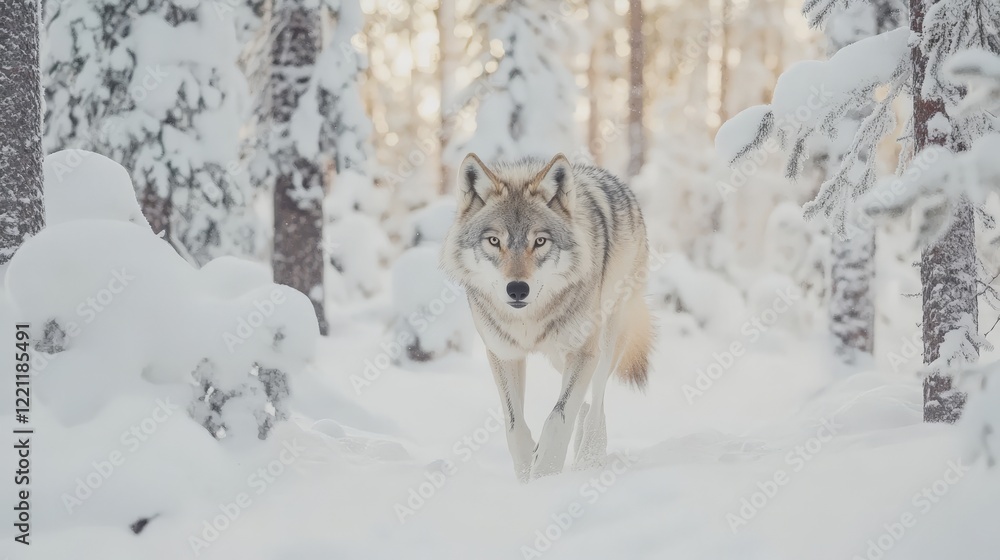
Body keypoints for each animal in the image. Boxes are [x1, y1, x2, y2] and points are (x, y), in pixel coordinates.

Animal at [441, 152, 654, 482]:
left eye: (539, 241)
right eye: (494, 241)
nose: (517, 289)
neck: (529, 320)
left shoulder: (583, 352)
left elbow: (558, 418)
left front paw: (545, 475)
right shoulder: (504, 354)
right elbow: (515, 425)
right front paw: (527, 473)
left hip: (607, 340)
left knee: (597, 403)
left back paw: (589, 459)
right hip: (561, 358)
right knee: (588, 403)